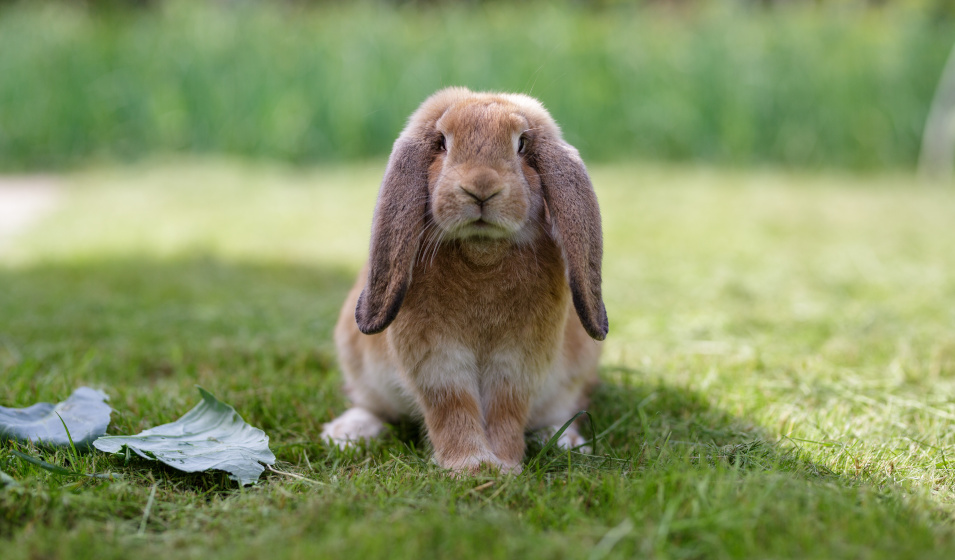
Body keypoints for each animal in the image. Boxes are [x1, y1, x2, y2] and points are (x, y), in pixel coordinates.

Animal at [321, 87, 608, 474]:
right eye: (441, 143)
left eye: (522, 145)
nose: (481, 187)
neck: (481, 253)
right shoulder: (437, 360)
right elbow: (451, 406)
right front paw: (471, 467)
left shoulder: (519, 363)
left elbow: (506, 410)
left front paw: (503, 466)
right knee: (372, 406)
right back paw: (346, 434)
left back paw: (568, 443)